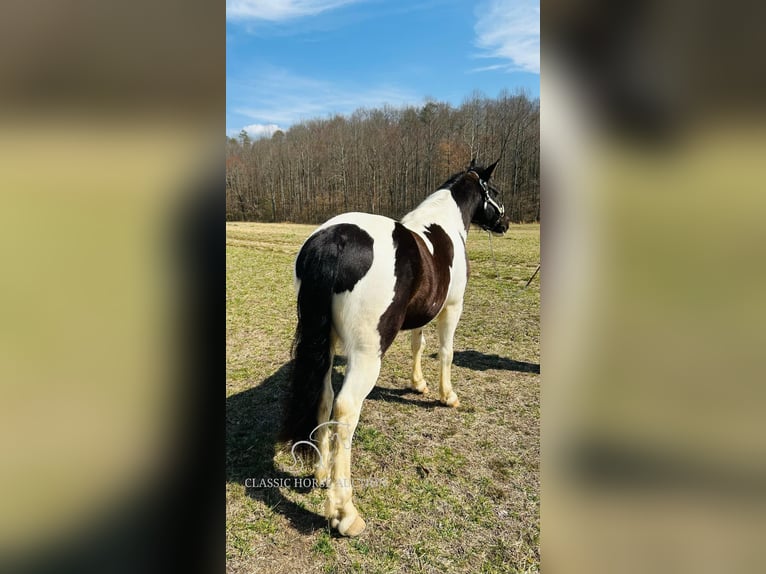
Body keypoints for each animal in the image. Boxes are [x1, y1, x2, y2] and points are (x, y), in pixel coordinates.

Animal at [282, 160, 510, 536]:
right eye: (494, 191)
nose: (506, 223)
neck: (442, 227)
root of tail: (334, 240)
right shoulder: (452, 308)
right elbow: (445, 352)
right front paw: (447, 396)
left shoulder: (421, 314)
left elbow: (418, 345)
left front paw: (418, 384)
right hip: (366, 355)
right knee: (345, 409)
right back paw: (345, 514)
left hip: (326, 344)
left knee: (324, 396)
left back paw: (321, 473)